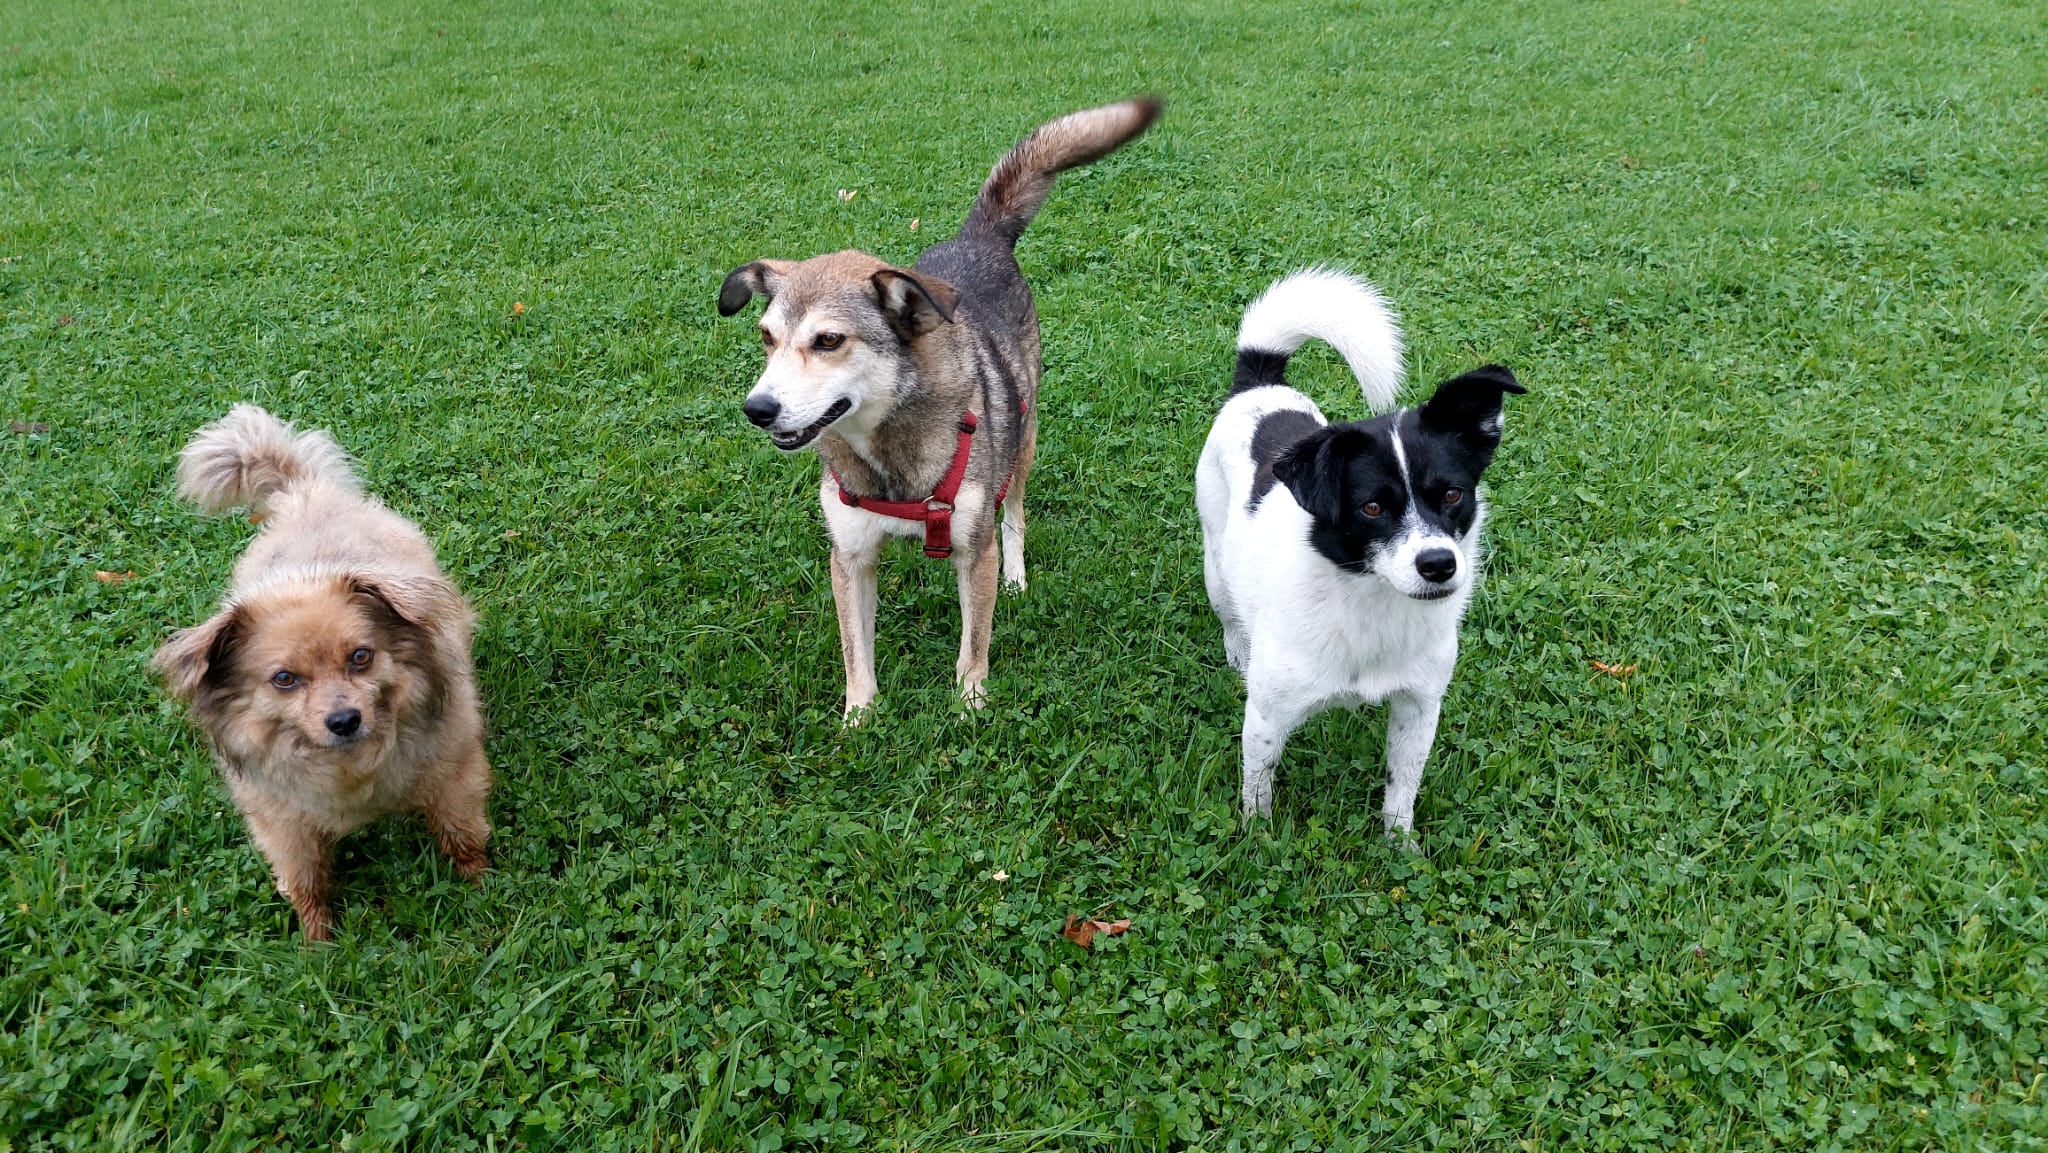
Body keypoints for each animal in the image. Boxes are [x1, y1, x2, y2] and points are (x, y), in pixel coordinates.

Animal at [153, 405, 492, 940]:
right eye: (284, 679)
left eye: (361, 656)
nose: (344, 720)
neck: (350, 766)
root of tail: (306, 495)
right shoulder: (283, 823)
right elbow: (303, 879)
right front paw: (317, 941)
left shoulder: (455, 775)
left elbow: (462, 835)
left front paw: (481, 888)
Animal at [718, 98, 1160, 717]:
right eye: (766, 336)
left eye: (829, 340)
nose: (757, 408)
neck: (889, 451)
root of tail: (979, 238)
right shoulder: (849, 558)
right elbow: (856, 653)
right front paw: (859, 718)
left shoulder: (975, 551)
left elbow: (974, 642)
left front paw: (970, 706)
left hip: (1024, 437)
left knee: (1016, 511)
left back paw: (1018, 575)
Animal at [1196, 269, 1524, 836]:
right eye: (1371, 507)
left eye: (1452, 494)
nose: (1439, 565)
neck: (1370, 601)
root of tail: (1260, 382)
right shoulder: (1266, 716)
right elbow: (1258, 790)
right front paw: (1256, 841)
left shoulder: (1419, 706)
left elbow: (1401, 789)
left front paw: (1399, 844)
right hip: (1215, 563)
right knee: (1229, 613)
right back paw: (1237, 649)